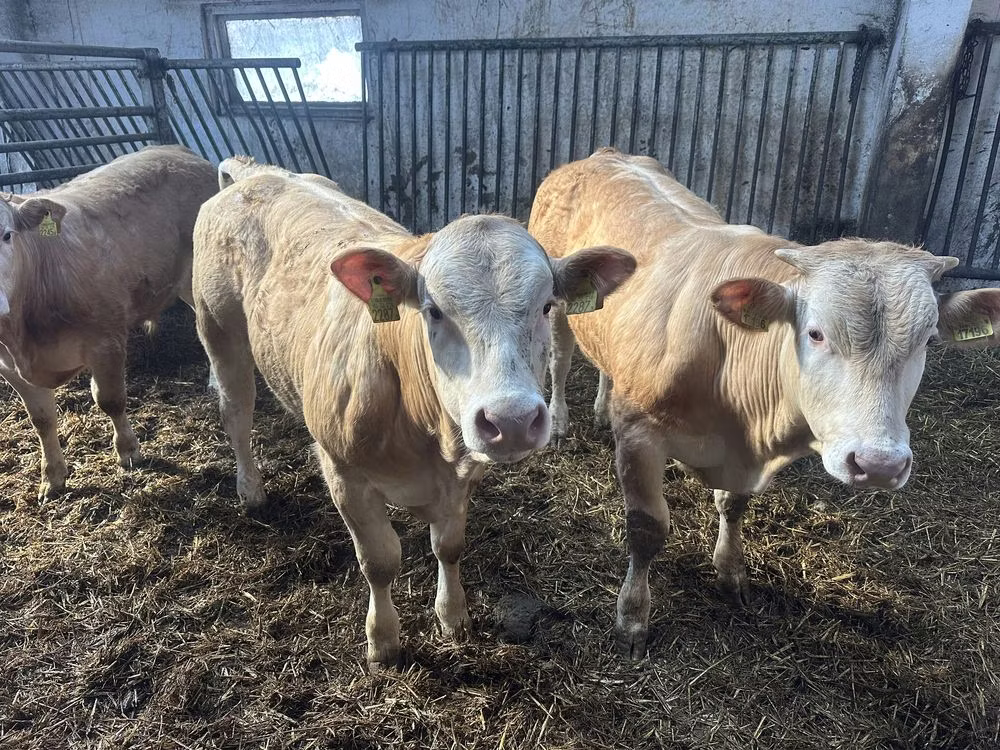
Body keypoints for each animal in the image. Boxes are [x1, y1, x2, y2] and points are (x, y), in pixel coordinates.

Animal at [0, 145, 217, 502]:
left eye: (7, 235)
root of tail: (174, 149)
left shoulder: (106, 339)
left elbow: (110, 399)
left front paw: (128, 451)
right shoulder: (10, 368)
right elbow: (41, 419)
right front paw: (52, 478)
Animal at [191, 165, 635, 667]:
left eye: (546, 306)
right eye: (434, 311)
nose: (512, 420)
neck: (424, 434)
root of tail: (254, 172)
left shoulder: (462, 473)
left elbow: (449, 547)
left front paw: (453, 616)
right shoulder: (344, 473)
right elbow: (380, 561)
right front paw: (382, 641)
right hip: (218, 327)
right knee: (237, 413)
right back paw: (251, 490)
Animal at [528, 148, 1000, 658]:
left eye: (928, 340)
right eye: (815, 333)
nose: (878, 464)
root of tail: (603, 155)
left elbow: (733, 506)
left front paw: (731, 572)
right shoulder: (638, 432)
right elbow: (646, 528)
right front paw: (633, 619)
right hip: (560, 303)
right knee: (560, 359)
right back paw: (561, 423)